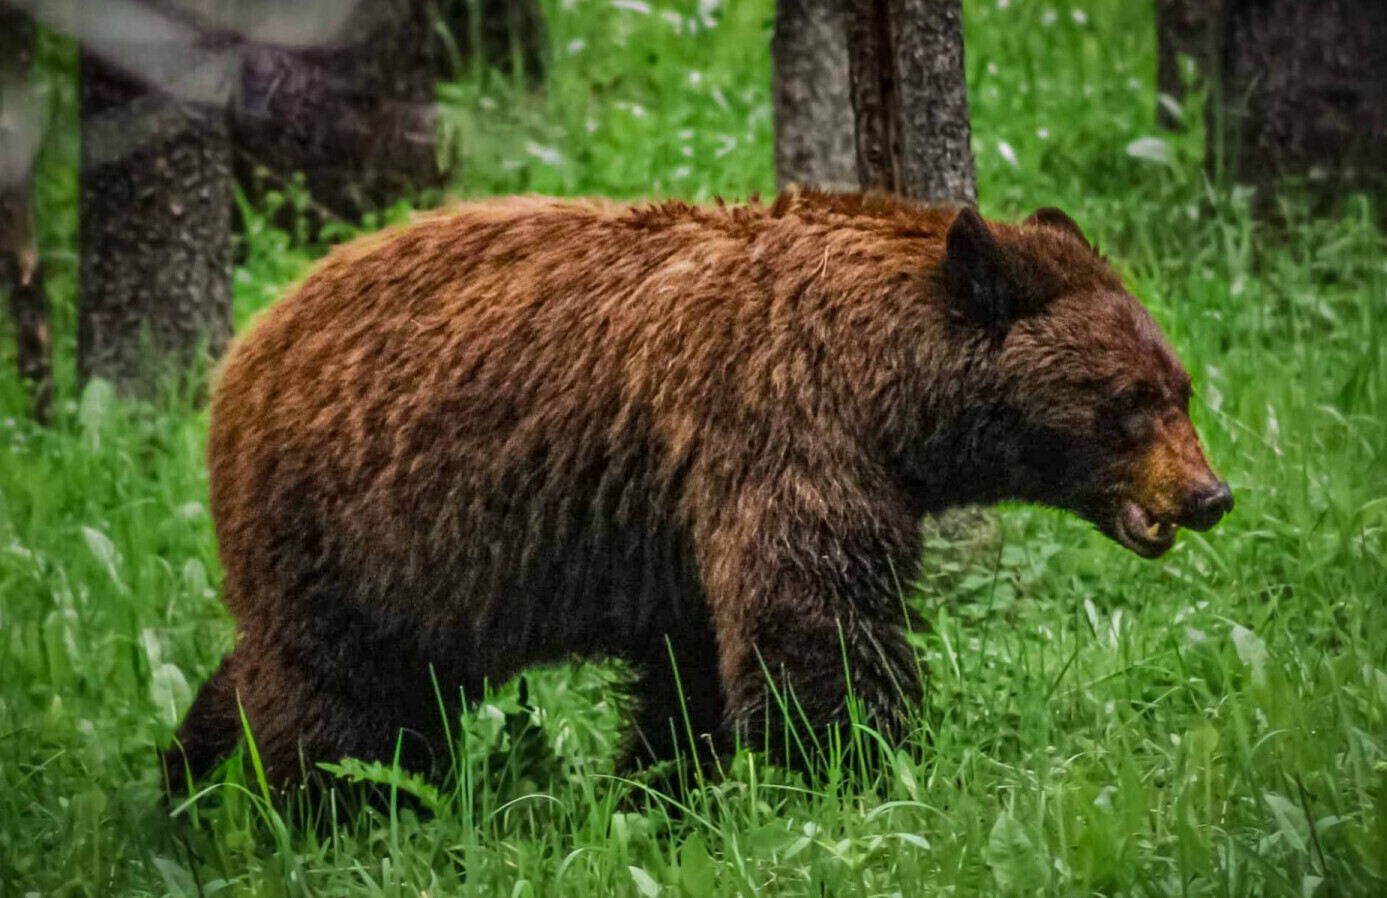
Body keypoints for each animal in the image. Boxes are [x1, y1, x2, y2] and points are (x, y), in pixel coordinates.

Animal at [163, 190, 1232, 793]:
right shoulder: (774, 425)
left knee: (286, 669)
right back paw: (331, 806)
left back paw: (188, 781)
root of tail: (245, 352)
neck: (888, 392)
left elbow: (692, 669)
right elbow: (814, 620)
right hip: (351, 521)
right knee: (340, 697)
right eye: (1128, 401)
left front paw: (665, 790)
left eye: (1179, 387)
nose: (1209, 494)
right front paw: (861, 764)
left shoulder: (673, 523)